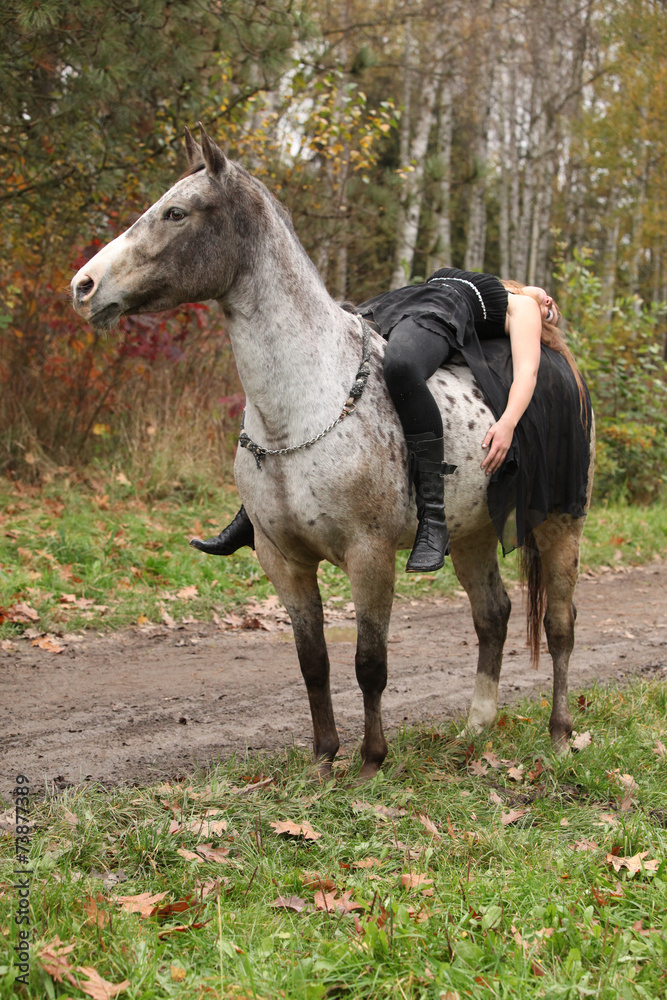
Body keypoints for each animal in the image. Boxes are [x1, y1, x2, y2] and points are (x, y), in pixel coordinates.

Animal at [71, 126, 595, 778]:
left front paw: (371, 762)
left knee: (560, 626)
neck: (301, 404)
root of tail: (558, 362)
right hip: (473, 532)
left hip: (560, 524)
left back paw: (560, 734)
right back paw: (476, 730)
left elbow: (369, 662)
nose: (83, 287)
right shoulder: (284, 562)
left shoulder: (369, 557)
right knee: (492, 616)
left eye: (176, 213)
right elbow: (312, 661)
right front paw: (324, 757)